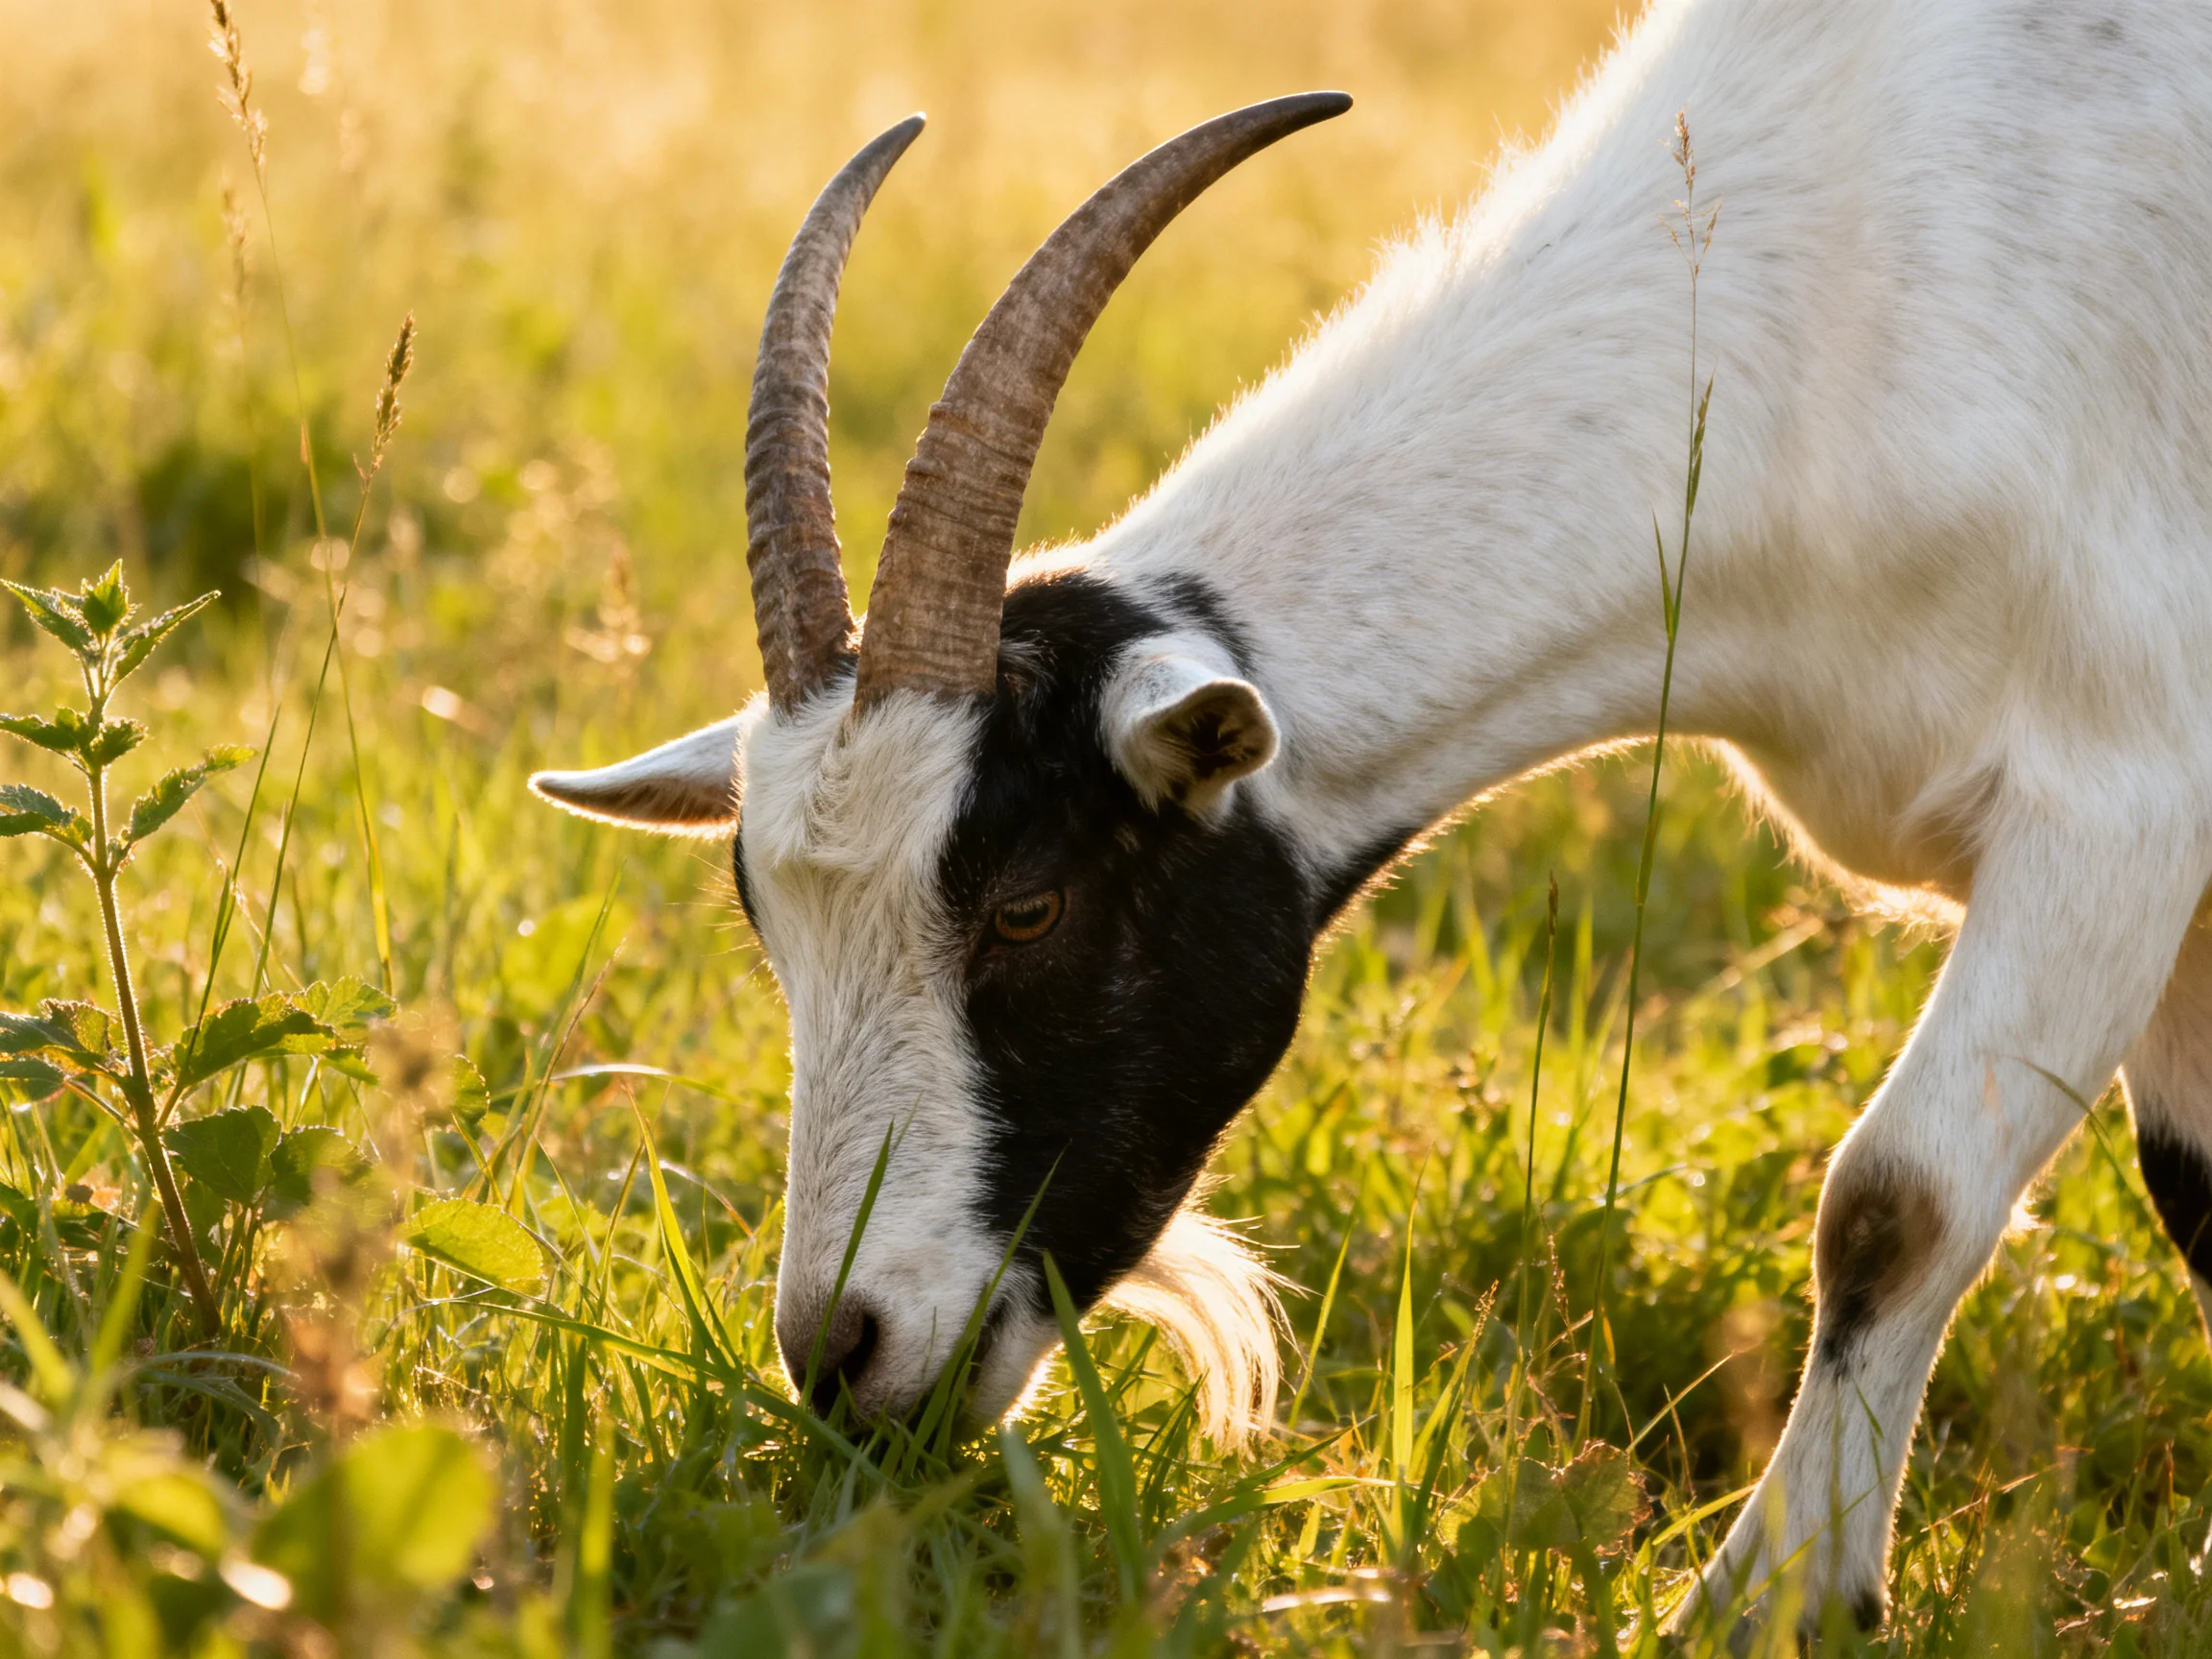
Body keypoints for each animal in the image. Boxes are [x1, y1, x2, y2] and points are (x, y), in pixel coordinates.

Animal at [531, 0, 2212, 1633]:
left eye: (1027, 903)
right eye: (769, 927)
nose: (844, 1358)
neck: (1852, 276)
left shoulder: (2118, 806)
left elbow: (1892, 1201)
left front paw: (1778, 1601)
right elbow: (2194, 1198)